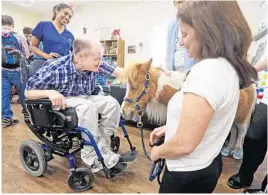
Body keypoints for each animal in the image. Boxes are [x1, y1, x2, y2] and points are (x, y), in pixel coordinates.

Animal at [121, 58, 255, 159]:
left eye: (133, 86)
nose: (123, 111)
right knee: (233, 130)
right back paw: (228, 149)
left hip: (243, 117)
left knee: (241, 132)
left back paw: (237, 151)